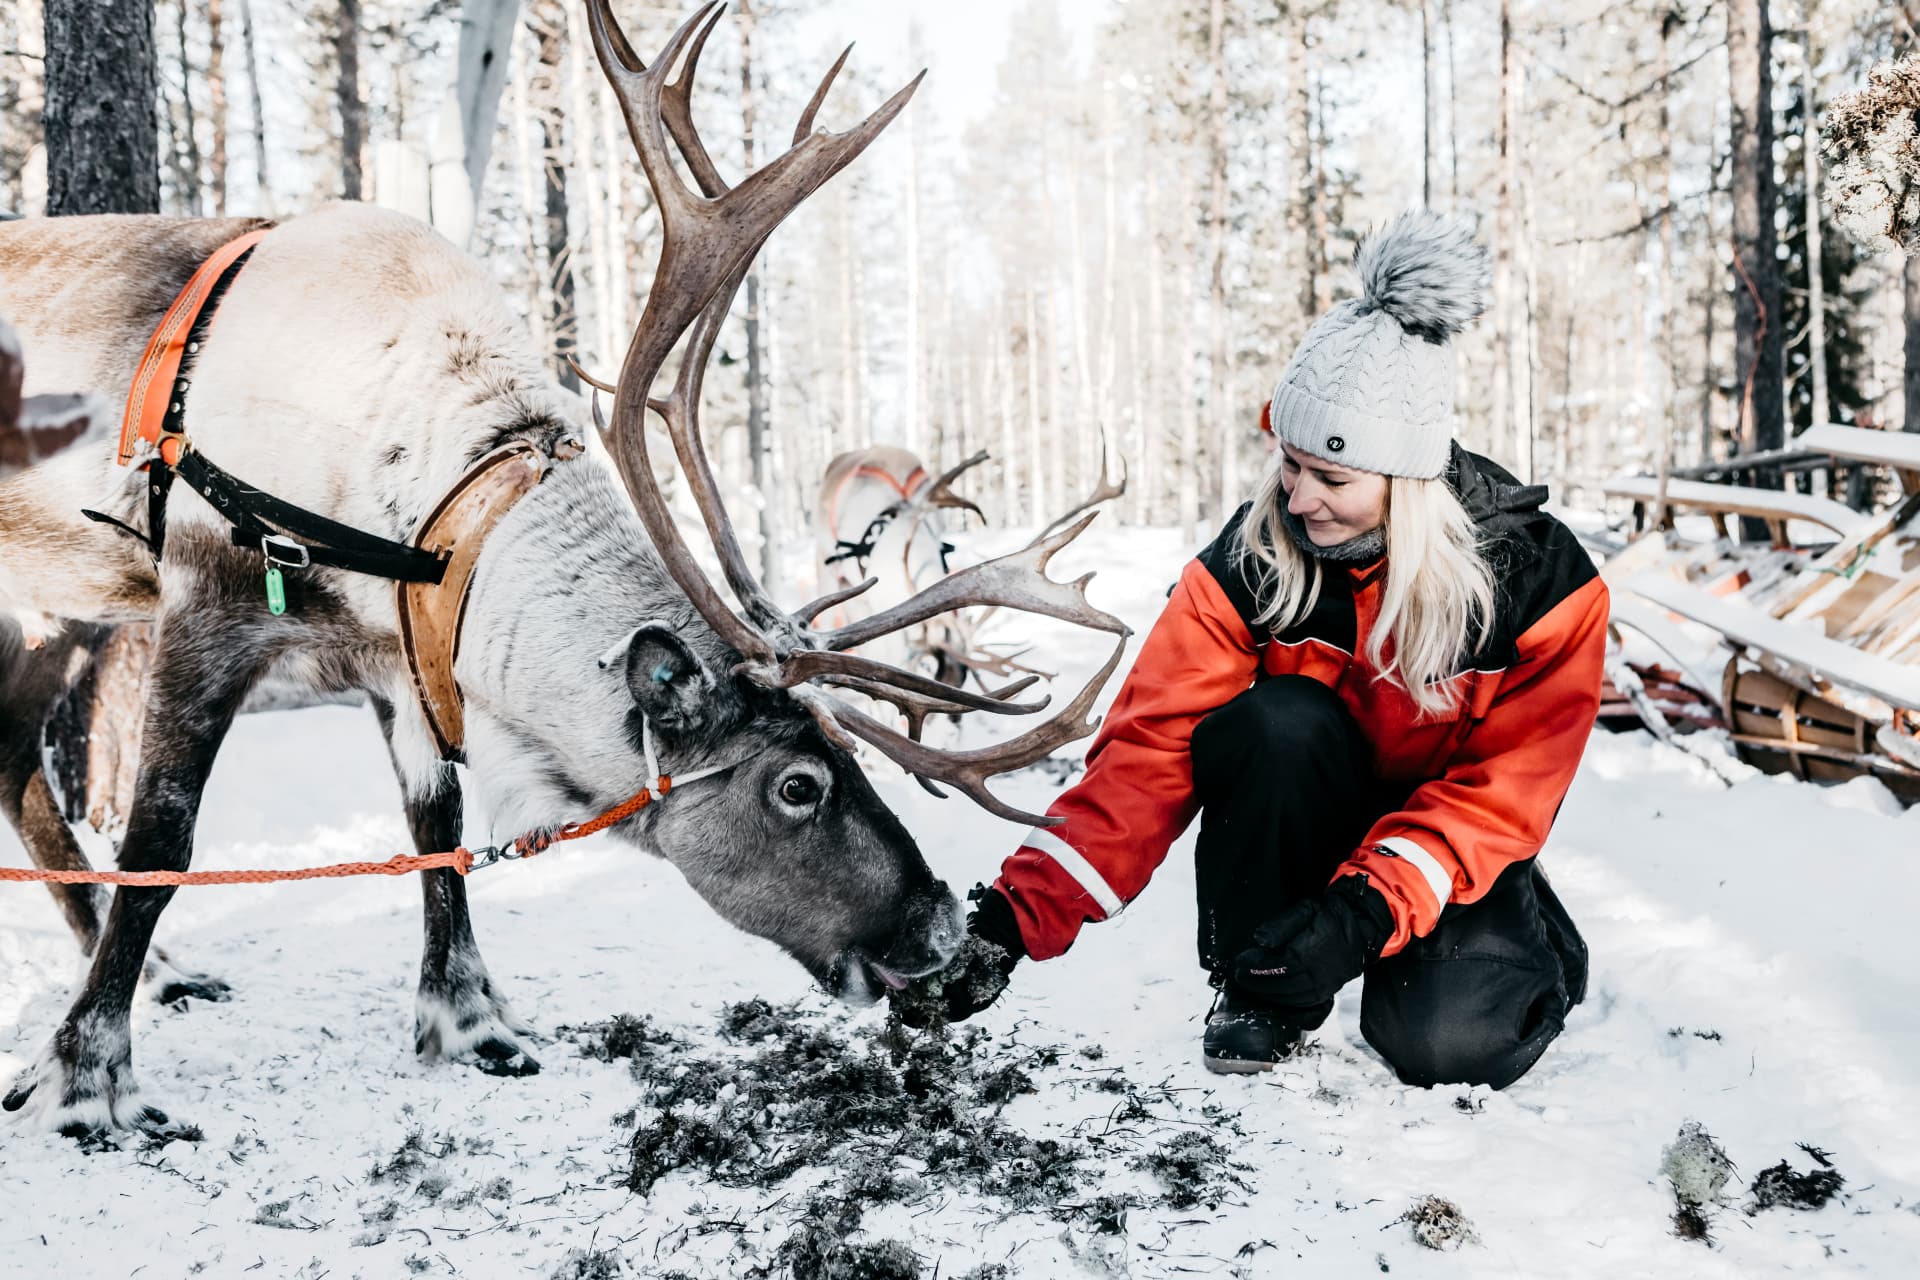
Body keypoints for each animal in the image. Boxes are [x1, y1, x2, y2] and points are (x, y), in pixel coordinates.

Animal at [0, 1, 1126, 1138]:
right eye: (799, 784)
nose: (945, 931)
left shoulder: (404, 652)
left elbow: (437, 827)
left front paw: (469, 1020)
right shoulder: (209, 605)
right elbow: (161, 838)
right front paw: (84, 1071)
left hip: (56, 610)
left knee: (16, 762)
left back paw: (159, 969)